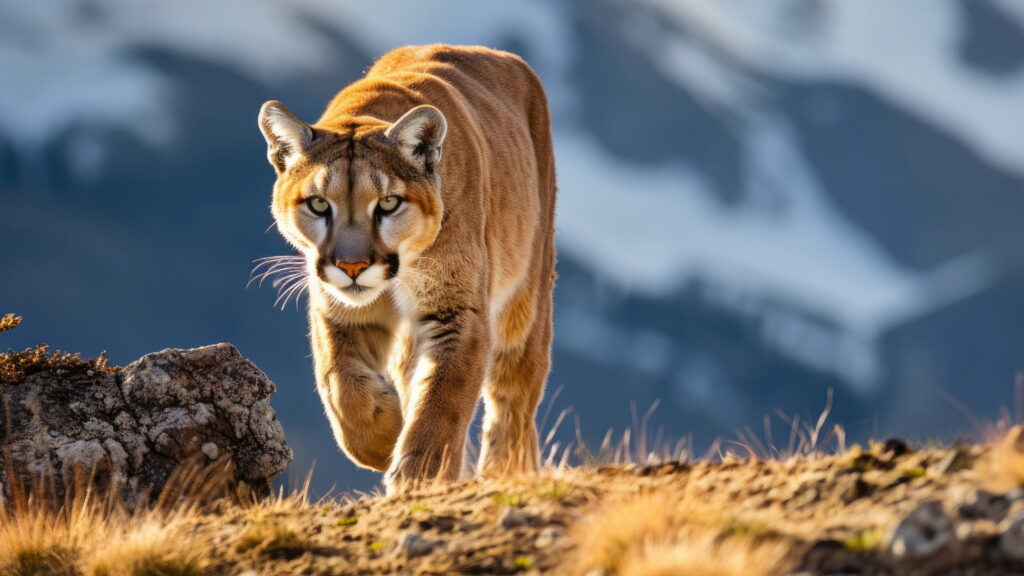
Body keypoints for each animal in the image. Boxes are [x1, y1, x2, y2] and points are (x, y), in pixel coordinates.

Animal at [257, 44, 556, 492]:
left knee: (514, 391)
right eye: (319, 204)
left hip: (527, 296)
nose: (353, 266)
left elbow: (443, 396)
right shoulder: (338, 308)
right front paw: (383, 438)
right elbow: (339, 384)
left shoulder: (457, 309)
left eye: (387, 203)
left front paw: (420, 475)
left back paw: (505, 471)